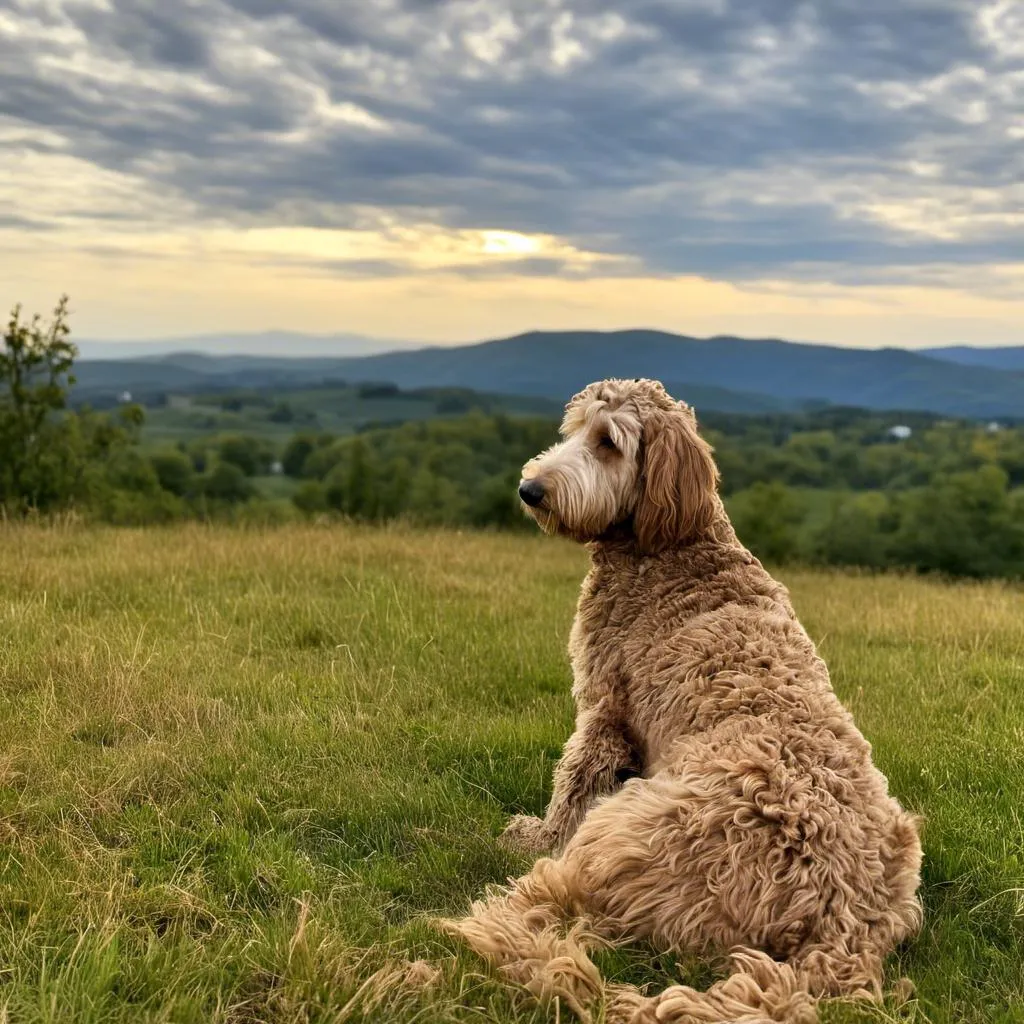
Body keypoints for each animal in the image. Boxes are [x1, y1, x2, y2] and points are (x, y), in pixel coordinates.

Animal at [444, 378, 925, 1024]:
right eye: (573, 429)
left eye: (608, 442)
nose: (530, 489)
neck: (673, 547)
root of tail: (843, 927)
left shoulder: (604, 705)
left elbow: (573, 781)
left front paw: (541, 832)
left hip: (627, 830)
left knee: (556, 887)